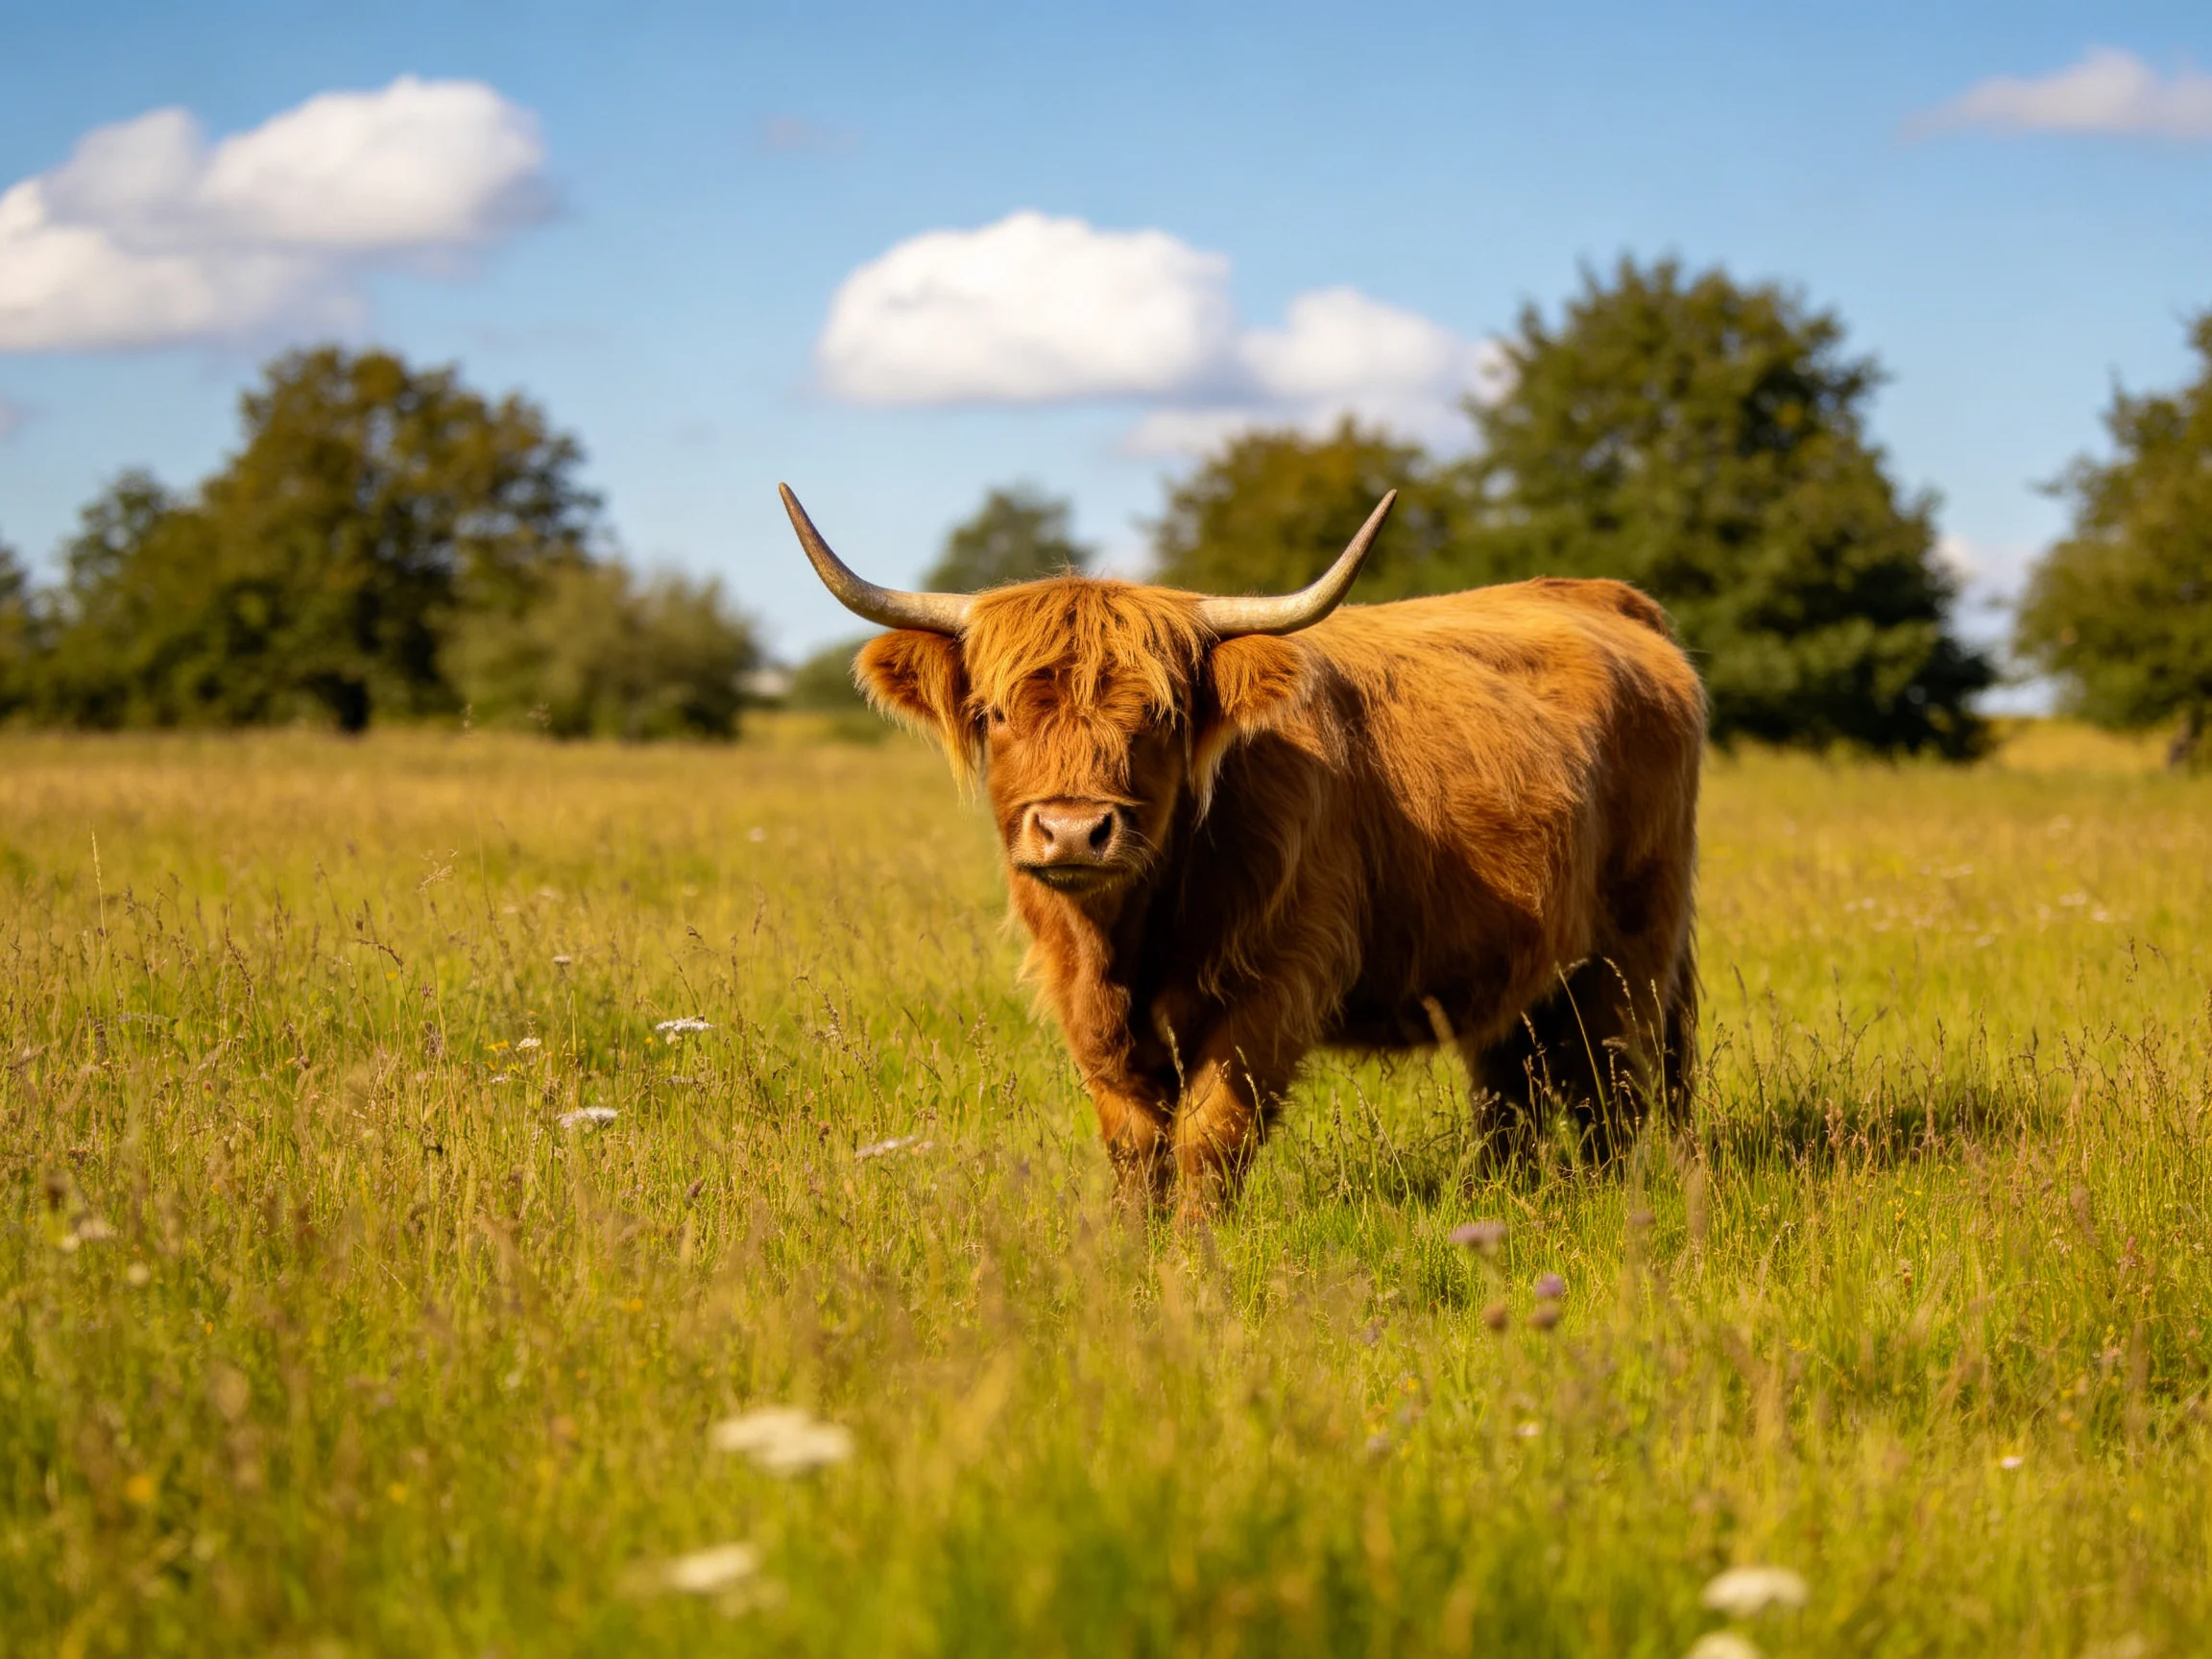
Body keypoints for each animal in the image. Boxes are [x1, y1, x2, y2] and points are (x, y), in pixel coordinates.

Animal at [781, 484, 1705, 1216]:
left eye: (1160, 715)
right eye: (999, 713)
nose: (1075, 831)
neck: (1131, 938)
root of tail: (1605, 596)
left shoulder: (1276, 985)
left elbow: (1209, 1138)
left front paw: (1194, 1268)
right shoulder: (1081, 1002)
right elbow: (1133, 1146)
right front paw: (1133, 1253)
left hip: (1632, 948)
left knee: (1614, 1089)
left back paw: (1610, 1208)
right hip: (1518, 965)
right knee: (1514, 1085)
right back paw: (1498, 1200)